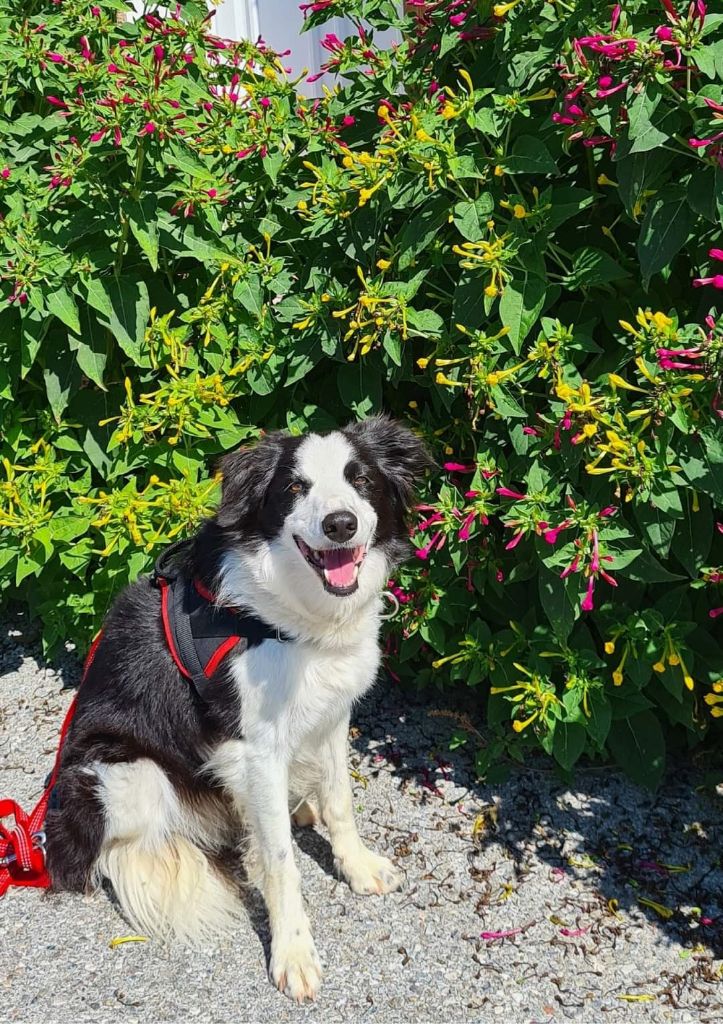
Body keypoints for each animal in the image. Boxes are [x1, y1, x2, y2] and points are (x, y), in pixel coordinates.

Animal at [45, 413, 430, 999]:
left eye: (360, 479)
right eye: (295, 488)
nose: (340, 524)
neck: (291, 616)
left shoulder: (333, 713)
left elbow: (340, 800)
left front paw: (359, 866)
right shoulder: (256, 747)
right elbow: (280, 861)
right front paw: (293, 952)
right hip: (121, 771)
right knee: (115, 852)